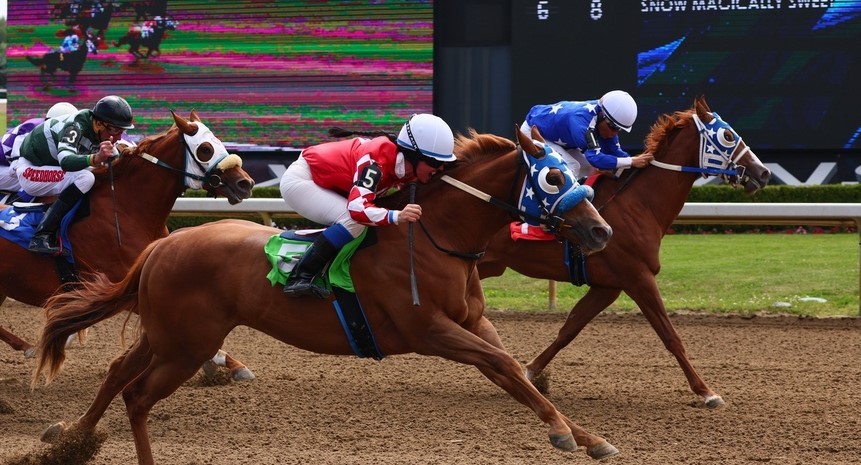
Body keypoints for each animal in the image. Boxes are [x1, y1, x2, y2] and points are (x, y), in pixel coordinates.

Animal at [33, 128, 620, 464]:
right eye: (551, 178)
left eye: (573, 171)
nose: (601, 232)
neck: (438, 237)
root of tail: (163, 244)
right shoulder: (431, 331)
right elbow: (504, 364)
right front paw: (563, 434)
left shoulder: (473, 324)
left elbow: (514, 371)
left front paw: (589, 438)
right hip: (186, 346)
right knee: (136, 395)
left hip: (169, 336)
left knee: (117, 373)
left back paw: (71, 438)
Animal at [478, 96, 772, 408]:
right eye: (727, 135)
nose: (763, 173)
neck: (639, 204)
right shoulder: (639, 278)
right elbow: (670, 336)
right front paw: (707, 392)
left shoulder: (609, 287)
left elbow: (569, 329)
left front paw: (531, 372)